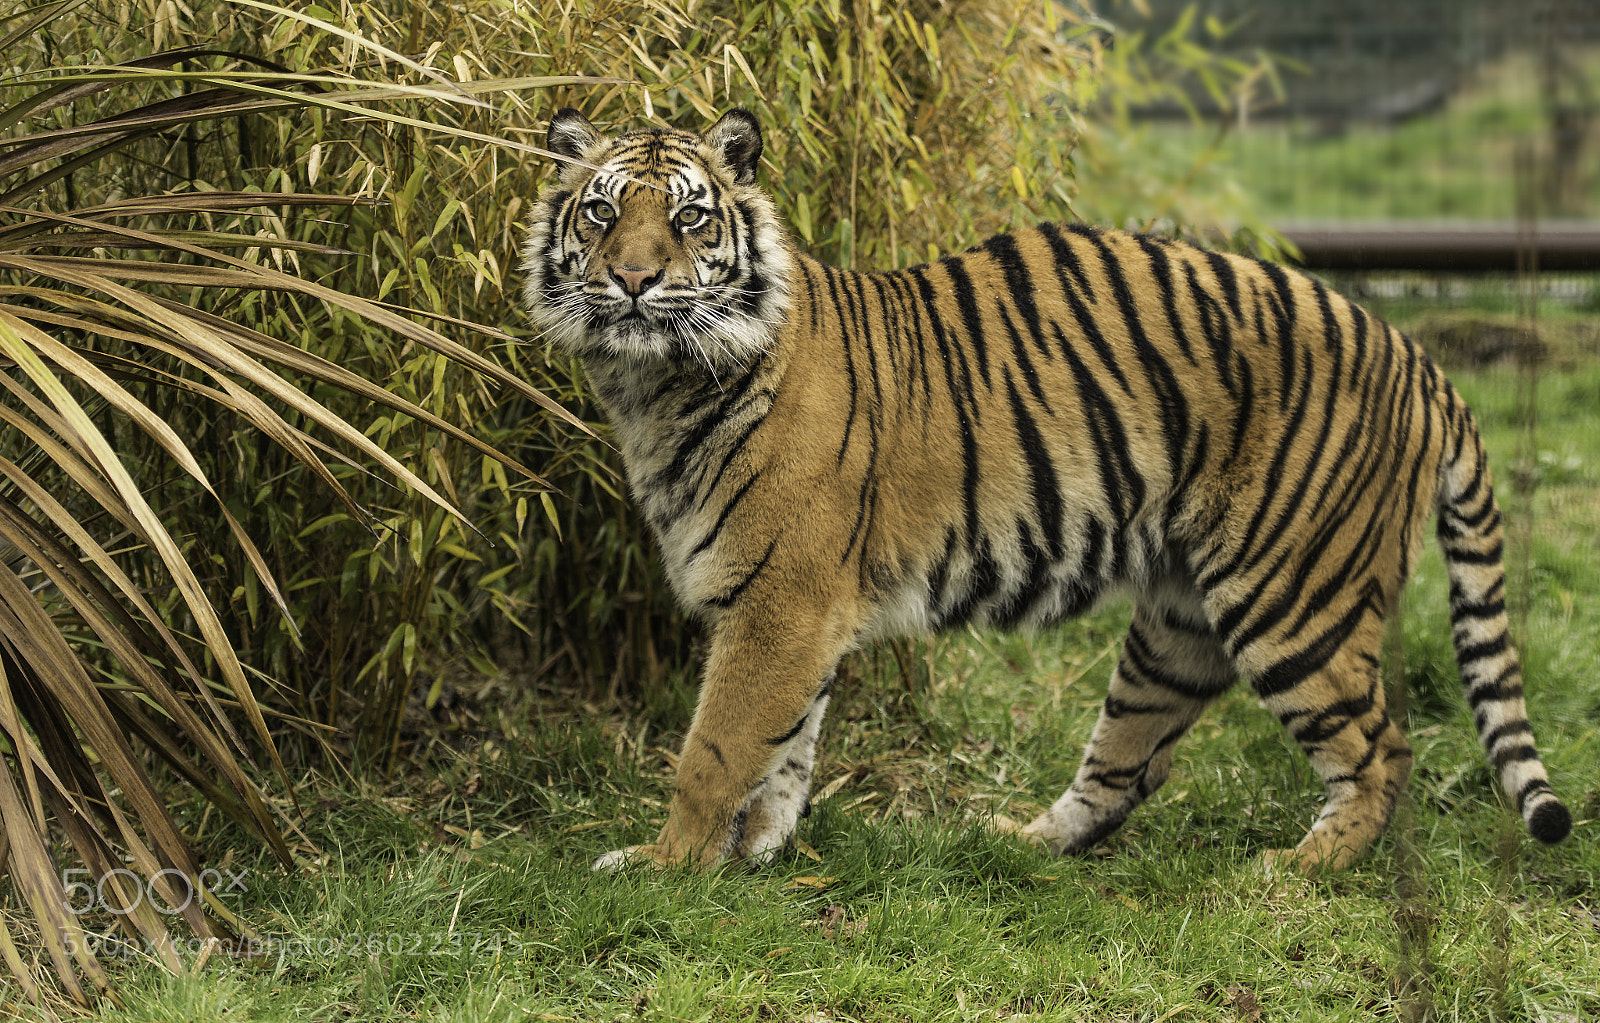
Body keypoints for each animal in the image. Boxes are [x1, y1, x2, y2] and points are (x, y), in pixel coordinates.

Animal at [521, 107, 1571, 875]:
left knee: (1383, 750)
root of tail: (1414, 353)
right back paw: (1019, 844)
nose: (631, 280)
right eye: (601, 214)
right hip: (1178, 623)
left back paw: (1294, 873)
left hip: (1295, 598)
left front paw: (665, 868)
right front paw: (754, 855)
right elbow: (786, 748)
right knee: (1129, 762)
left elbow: (718, 749)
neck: (652, 385)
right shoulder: (795, 609)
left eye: (690, 218)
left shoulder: (781, 601)